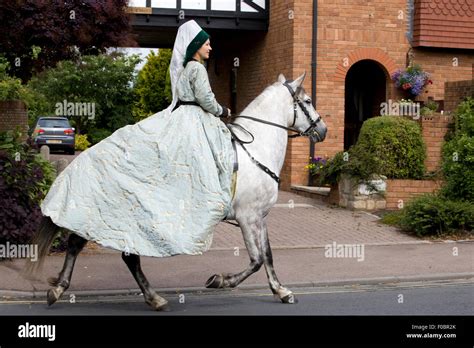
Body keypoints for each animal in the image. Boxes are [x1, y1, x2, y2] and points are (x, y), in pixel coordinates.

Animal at [24, 72, 328, 312]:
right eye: (308, 101)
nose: (323, 130)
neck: (255, 150)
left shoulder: (260, 218)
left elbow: (268, 256)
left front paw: (281, 291)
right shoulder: (248, 217)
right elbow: (256, 260)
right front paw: (220, 280)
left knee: (96, 249)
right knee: (109, 252)